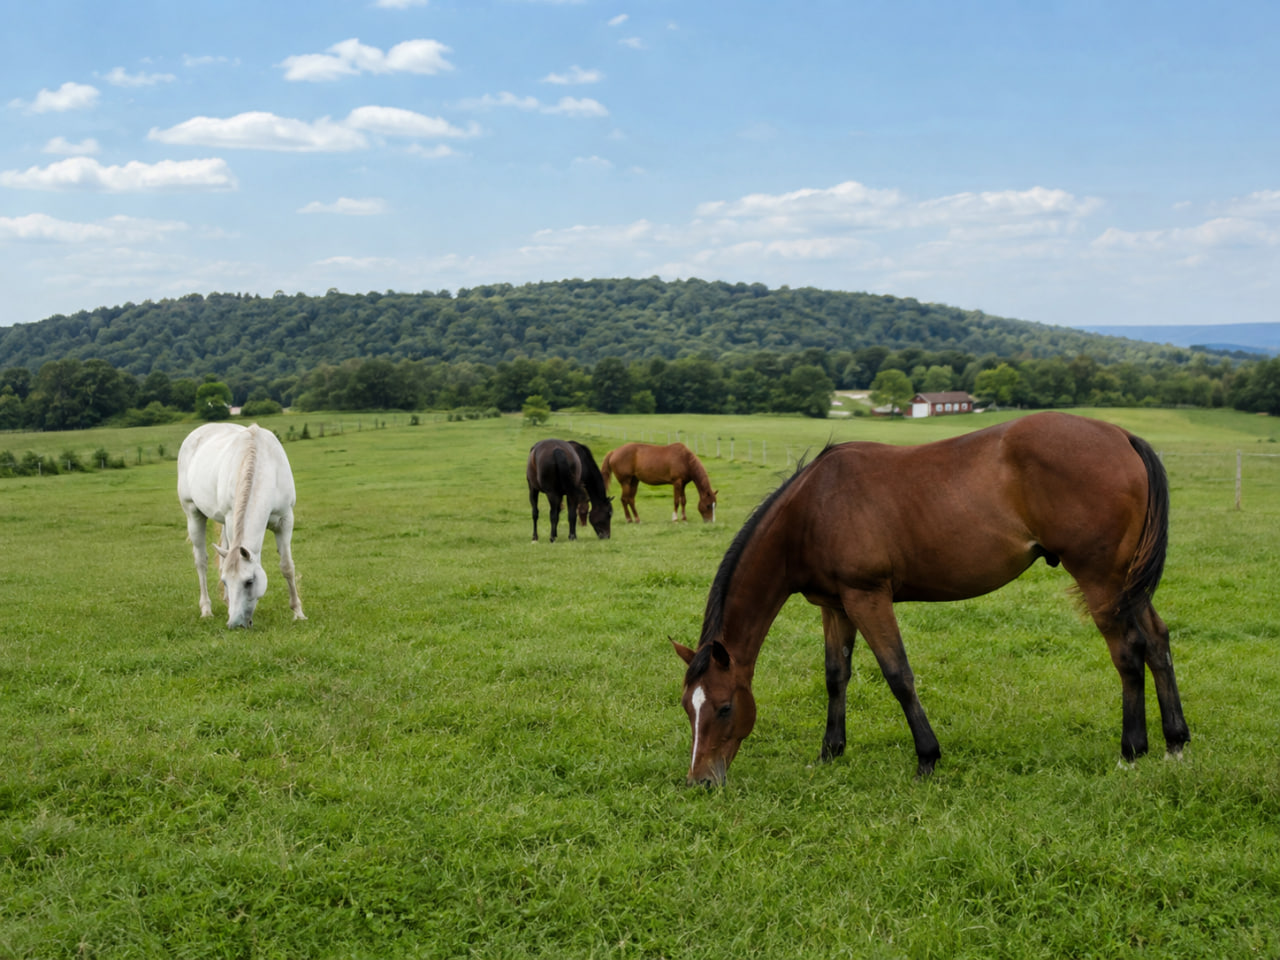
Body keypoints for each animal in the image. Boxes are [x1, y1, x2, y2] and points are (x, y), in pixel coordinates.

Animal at [177, 422, 306, 628]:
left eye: (249, 582)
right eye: (226, 582)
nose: (235, 624)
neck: (265, 466)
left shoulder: (285, 520)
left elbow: (287, 566)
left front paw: (298, 613)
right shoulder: (232, 520)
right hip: (193, 513)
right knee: (201, 561)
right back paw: (206, 610)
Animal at [672, 412, 1189, 786]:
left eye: (723, 707)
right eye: (686, 707)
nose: (701, 781)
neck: (812, 509)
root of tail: (1121, 436)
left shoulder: (867, 597)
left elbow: (898, 675)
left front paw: (927, 758)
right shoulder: (836, 605)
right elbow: (836, 676)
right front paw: (830, 752)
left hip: (1101, 579)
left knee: (1128, 652)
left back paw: (1131, 750)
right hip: (1126, 583)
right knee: (1158, 643)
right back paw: (1176, 743)